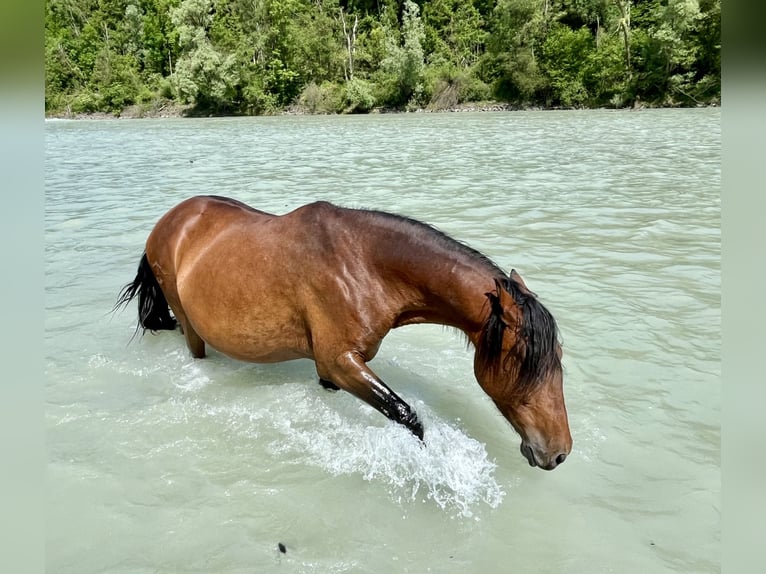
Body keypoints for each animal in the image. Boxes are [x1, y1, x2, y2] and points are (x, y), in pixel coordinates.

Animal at [114, 198, 568, 472]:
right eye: (524, 361)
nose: (559, 452)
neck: (364, 264)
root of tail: (171, 220)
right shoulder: (340, 360)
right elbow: (407, 416)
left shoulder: (330, 368)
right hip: (190, 325)